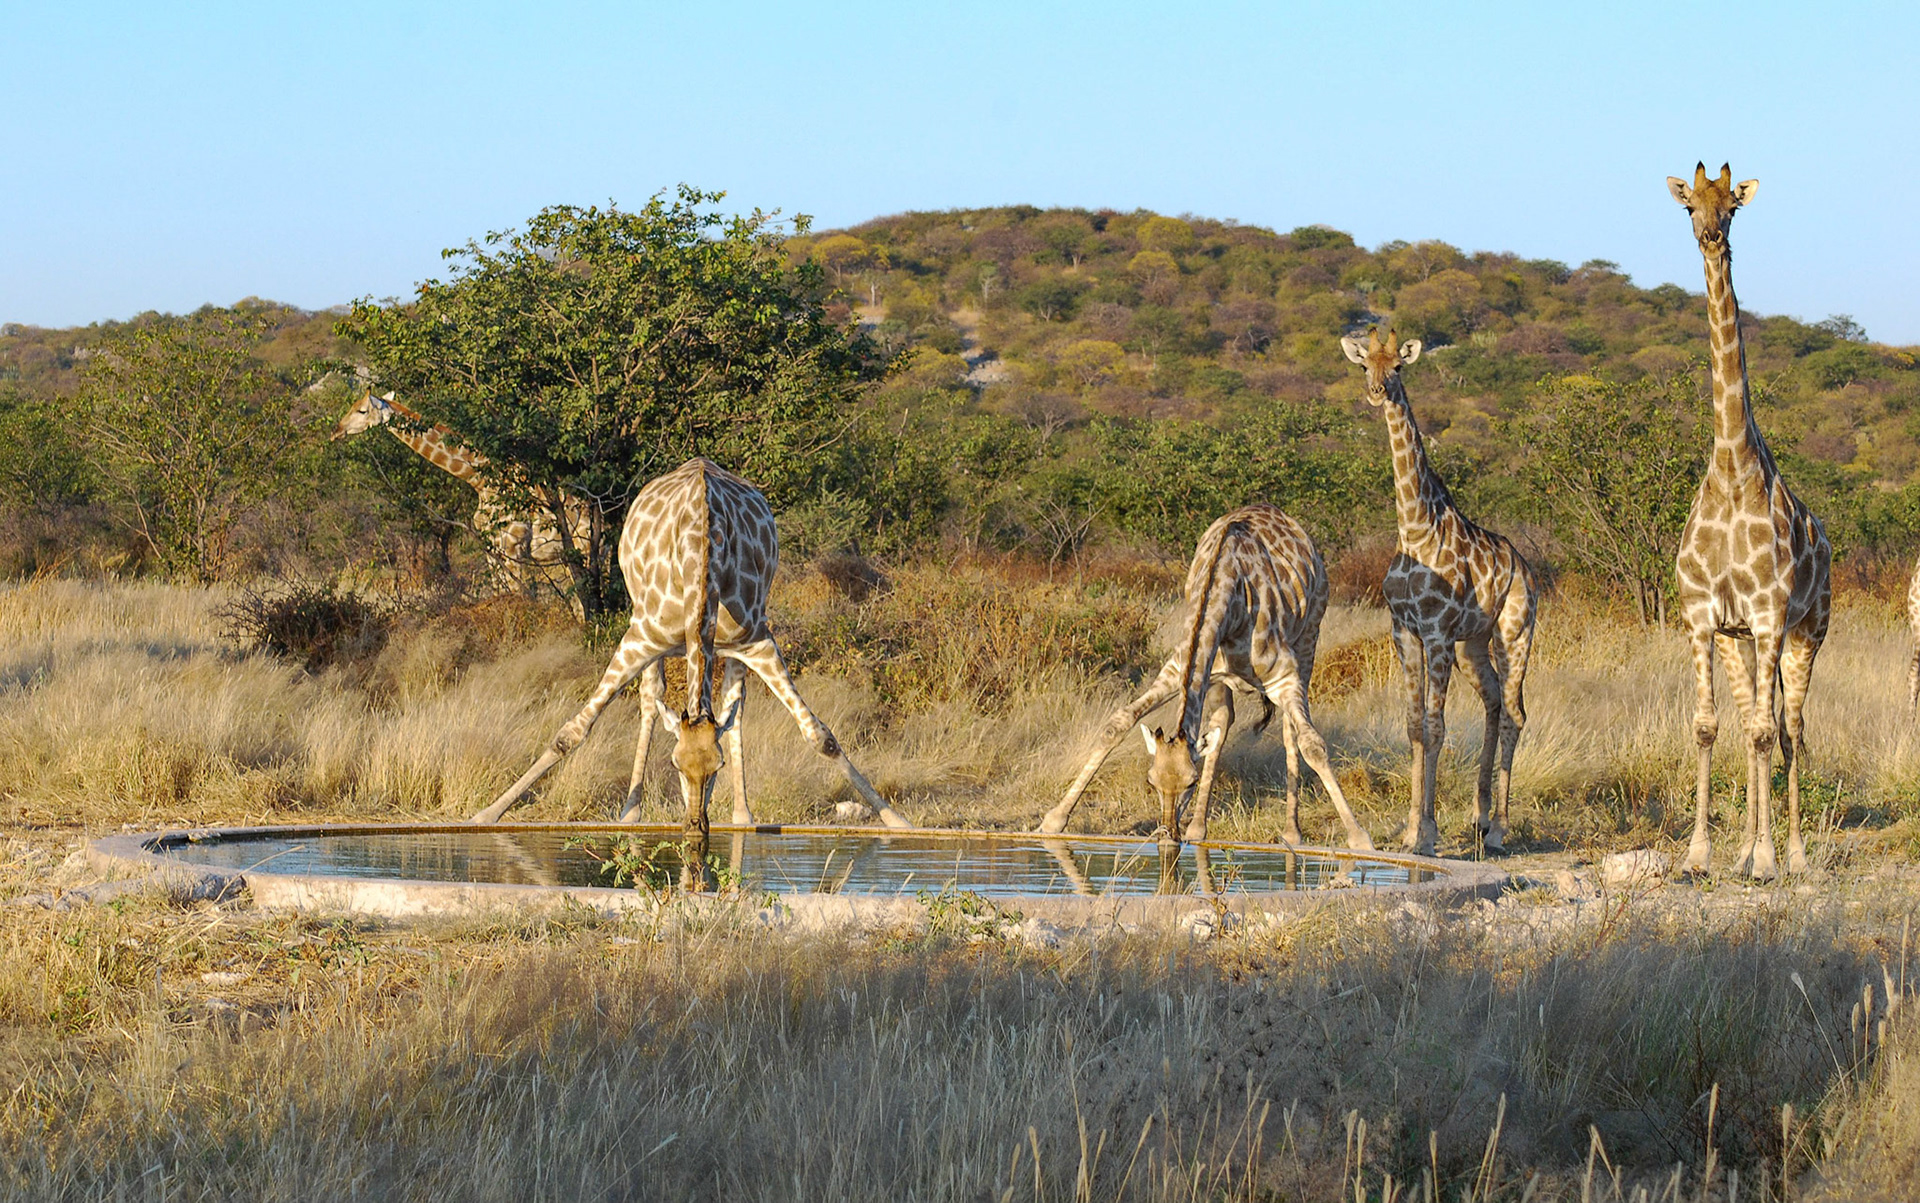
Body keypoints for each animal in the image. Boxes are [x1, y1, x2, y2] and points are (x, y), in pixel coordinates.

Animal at [332, 390, 595, 604]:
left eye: (362, 410)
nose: (336, 431)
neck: (479, 481)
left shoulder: (512, 545)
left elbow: (522, 594)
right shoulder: (492, 546)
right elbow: (502, 592)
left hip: (585, 546)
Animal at [469, 458, 911, 868]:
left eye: (717, 766)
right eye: (674, 764)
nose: (696, 831)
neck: (701, 558)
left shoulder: (758, 640)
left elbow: (820, 736)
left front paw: (898, 822)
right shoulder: (639, 638)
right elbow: (571, 733)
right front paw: (486, 815)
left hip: (730, 649)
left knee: (734, 708)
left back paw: (743, 814)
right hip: (647, 632)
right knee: (651, 700)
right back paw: (630, 814)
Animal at [1039, 505, 1373, 851]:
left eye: (1191, 781)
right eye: (1151, 780)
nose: (1167, 835)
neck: (1230, 598)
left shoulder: (1284, 675)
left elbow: (1312, 744)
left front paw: (1360, 838)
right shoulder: (1179, 669)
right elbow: (1119, 721)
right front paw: (1055, 819)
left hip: (1309, 638)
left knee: (1289, 729)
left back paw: (1291, 831)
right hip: (1217, 679)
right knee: (1221, 723)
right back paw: (1198, 828)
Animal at [1340, 327, 1537, 856]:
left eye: (1398, 367)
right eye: (1364, 365)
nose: (1377, 391)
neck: (1414, 528)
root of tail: (1528, 570)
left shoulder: (1437, 634)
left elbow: (1435, 727)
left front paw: (1426, 834)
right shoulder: (1404, 631)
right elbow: (1414, 726)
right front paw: (1411, 829)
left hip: (1514, 633)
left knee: (1515, 713)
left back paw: (1500, 829)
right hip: (1474, 645)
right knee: (1494, 702)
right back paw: (1479, 815)